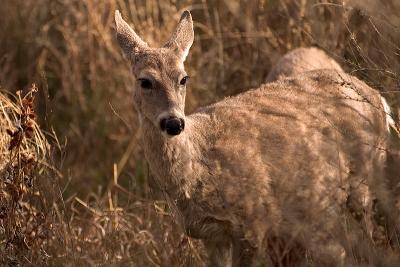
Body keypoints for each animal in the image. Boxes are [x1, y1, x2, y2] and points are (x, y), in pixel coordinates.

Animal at [115, 9, 390, 266]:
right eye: (144, 81)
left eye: (183, 78)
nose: (174, 123)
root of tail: (379, 98)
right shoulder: (211, 235)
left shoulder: (251, 223)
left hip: (364, 177)